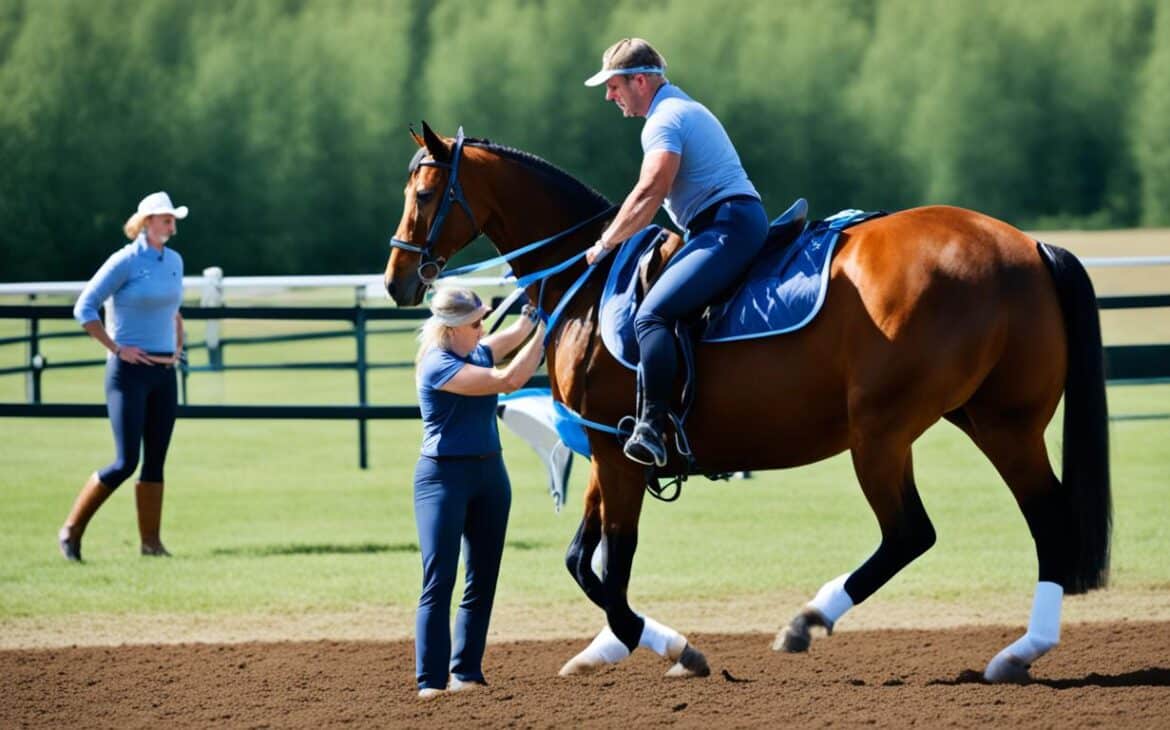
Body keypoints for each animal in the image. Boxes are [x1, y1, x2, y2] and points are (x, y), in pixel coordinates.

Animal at [383, 124, 1104, 683]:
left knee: (910, 533)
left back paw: (808, 622)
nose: (396, 280)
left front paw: (673, 648)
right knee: (1049, 522)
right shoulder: (606, 448)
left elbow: (613, 570)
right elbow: (585, 564)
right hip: (1000, 423)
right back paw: (1021, 652)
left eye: (424, 194)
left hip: (882, 432)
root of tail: (1025, 246)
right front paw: (612, 649)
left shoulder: (620, 453)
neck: (591, 281)